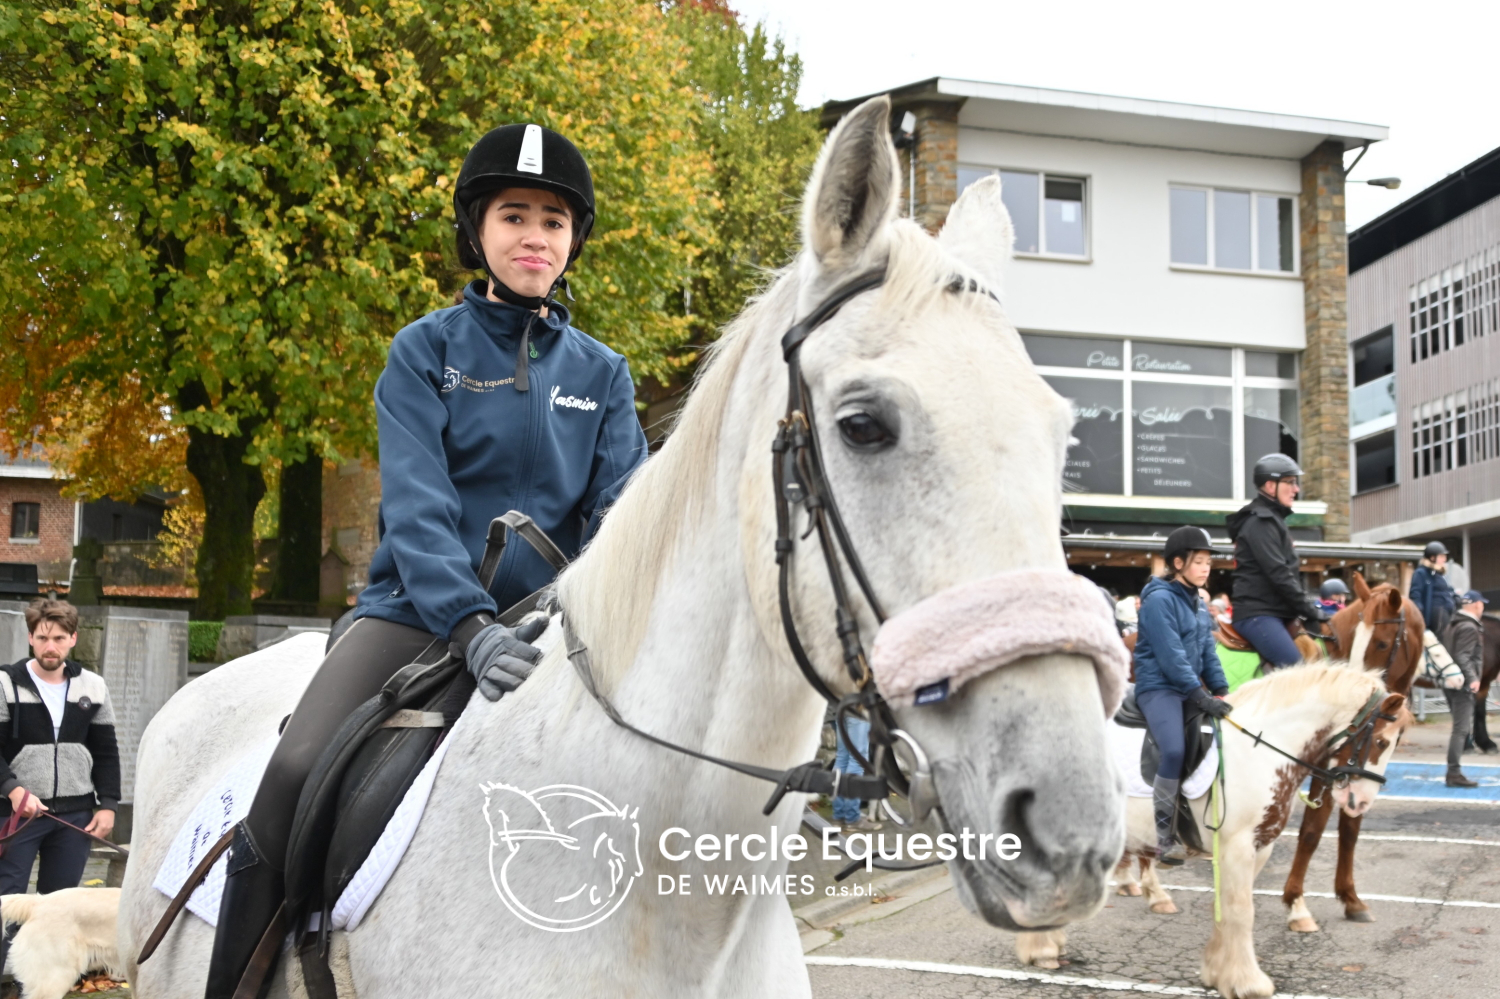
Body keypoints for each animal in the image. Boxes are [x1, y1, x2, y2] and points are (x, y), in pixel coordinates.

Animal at [1019, 664, 1407, 999]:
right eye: (1381, 742)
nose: (1360, 802)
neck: (1260, 749)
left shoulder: (1258, 847)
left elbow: (1226, 908)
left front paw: (1219, 973)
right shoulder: (1237, 845)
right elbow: (1241, 911)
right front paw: (1248, 982)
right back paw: (1040, 948)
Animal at [1279, 571, 1424, 931]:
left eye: (1382, 643)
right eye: (1357, 641)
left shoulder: (1352, 768)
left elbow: (1349, 828)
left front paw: (1350, 898)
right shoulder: (1329, 767)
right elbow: (1312, 830)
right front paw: (1296, 903)